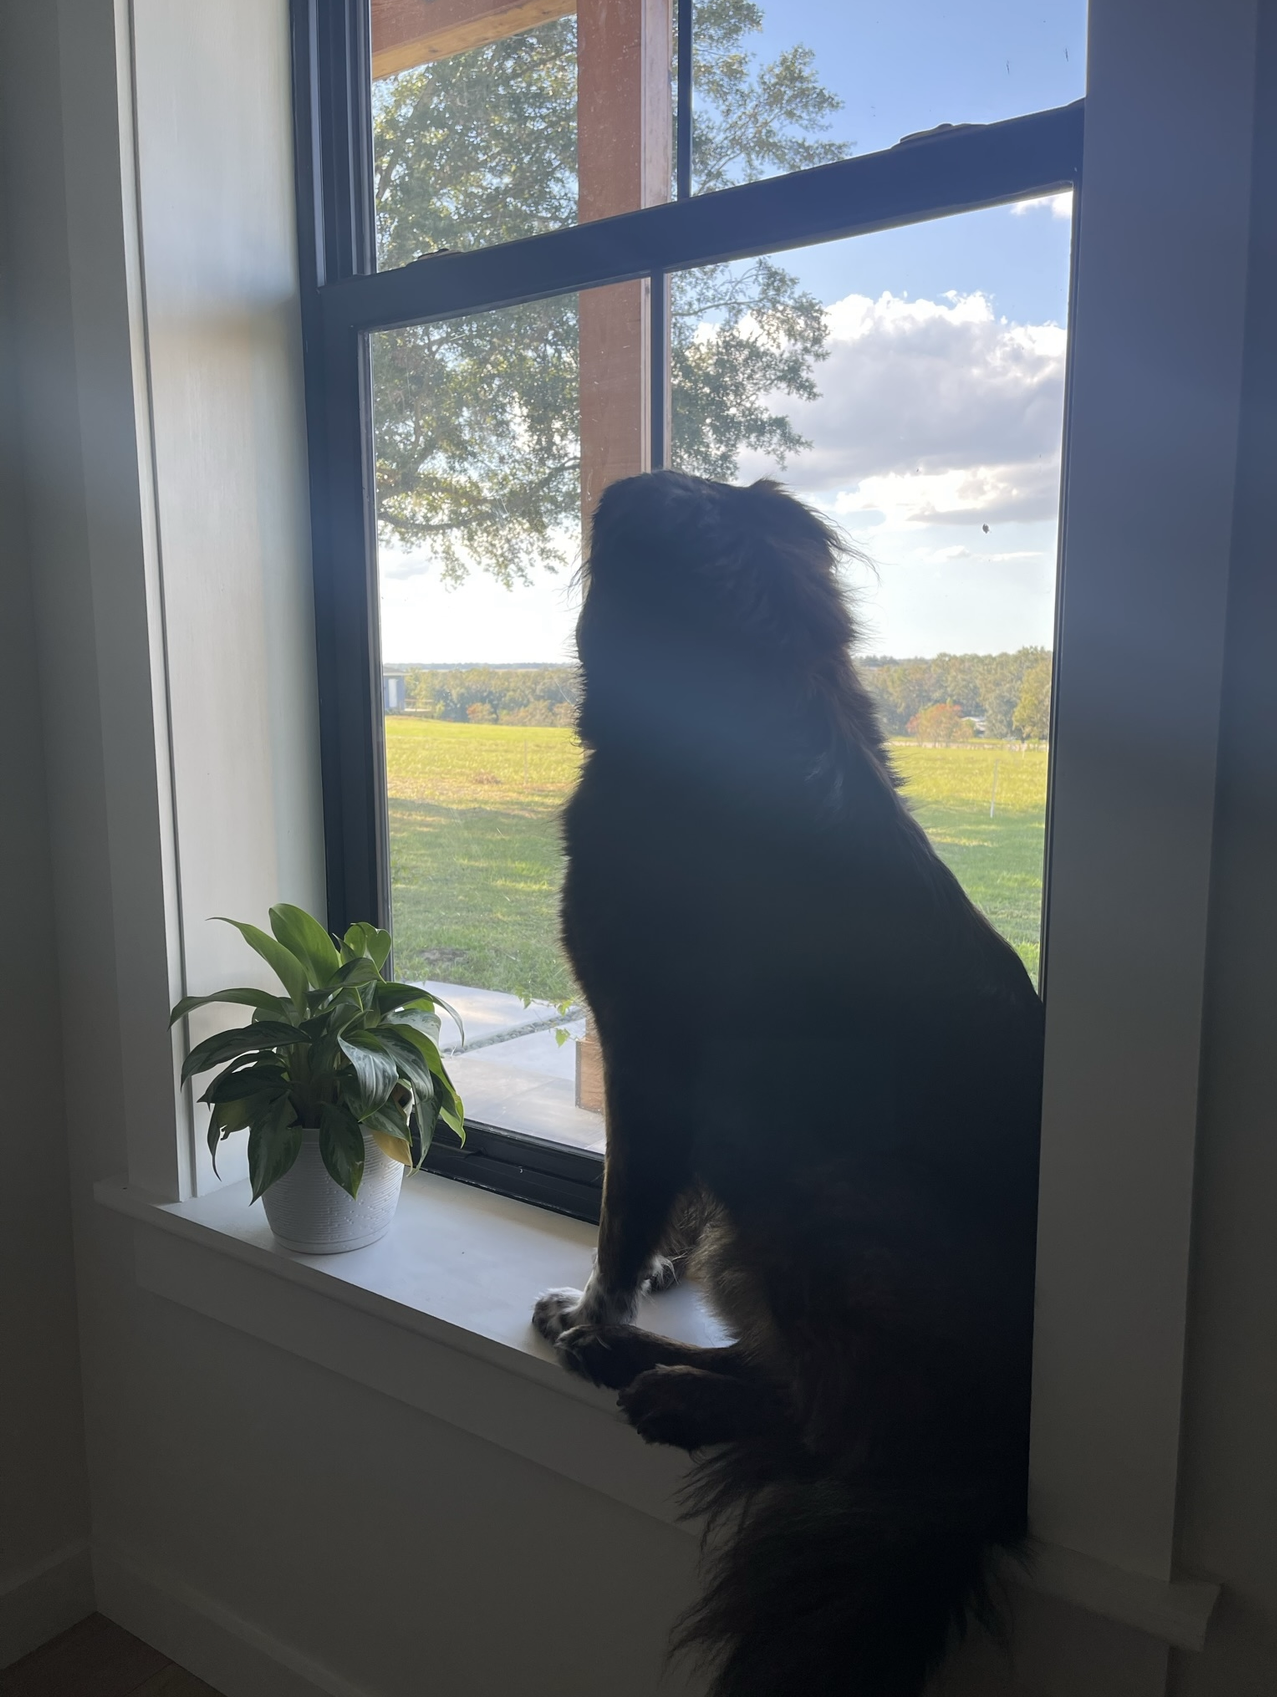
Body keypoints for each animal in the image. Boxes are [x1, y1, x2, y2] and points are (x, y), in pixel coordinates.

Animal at [533, 471, 1044, 1696]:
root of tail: (987, 1478)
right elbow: (659, 1211)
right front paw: (643, 1283)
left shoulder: (643, 1048)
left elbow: (622, 1207)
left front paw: (598, 1303)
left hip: (820, 1196)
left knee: (826, 1428)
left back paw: (645, 1372)